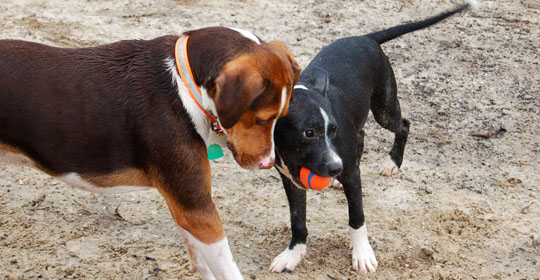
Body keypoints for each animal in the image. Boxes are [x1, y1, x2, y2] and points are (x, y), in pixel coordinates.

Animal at [0, 25, 300, 278]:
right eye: (262, 119)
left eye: (282, 115)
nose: (269, 163)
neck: (184, 85)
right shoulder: (197, 209)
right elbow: (228, 270)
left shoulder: (183, 205)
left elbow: (202, 262)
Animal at [272, 0, 474, 274]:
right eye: (308, 133)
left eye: (332, 130)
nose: (336, 168)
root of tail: (366, 38)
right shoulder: (291, 181)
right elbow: (297, 220)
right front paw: (293, 254)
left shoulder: (350, 175)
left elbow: (357, 218)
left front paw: (362, 254)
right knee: (362, 136)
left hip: (384, 108)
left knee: (403, 125)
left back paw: (392, 163)